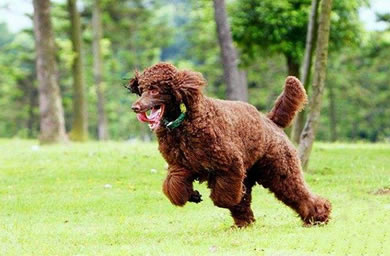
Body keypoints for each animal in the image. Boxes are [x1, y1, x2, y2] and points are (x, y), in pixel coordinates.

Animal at [126, 62, 330, 228]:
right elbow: (174, 186)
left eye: (155, 90)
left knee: (297, 193)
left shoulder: (230, 164)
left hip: (280, 169)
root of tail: (271, 120)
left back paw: (319, 217)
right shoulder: (179, 165)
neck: (185, 122)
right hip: (253, 174)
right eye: (142, 88)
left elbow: (223, 198)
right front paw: (192, 195)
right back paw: (243, 224)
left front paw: (210, 198)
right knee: (246, 202)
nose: (135, 107)